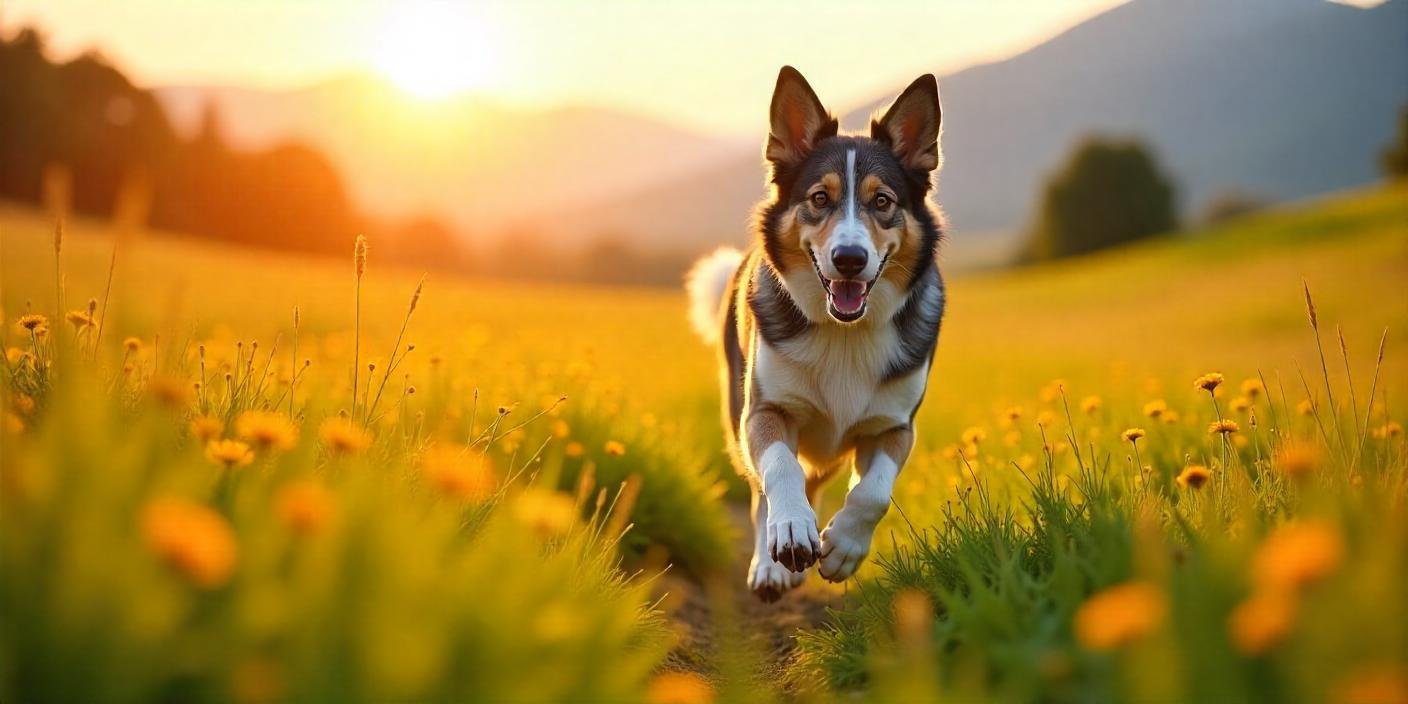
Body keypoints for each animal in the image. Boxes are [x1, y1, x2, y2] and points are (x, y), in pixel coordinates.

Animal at [684, 66, 946, 599]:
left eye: (882, 201)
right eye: (820, 199)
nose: (849, 259)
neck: (844, 333)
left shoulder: (894, 426)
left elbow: (873, 492)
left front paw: (843, 548)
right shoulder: (764, 410)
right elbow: (780, 470)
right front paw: (787, 536)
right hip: (736, 413)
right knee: (764, 488)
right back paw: (774, 563)